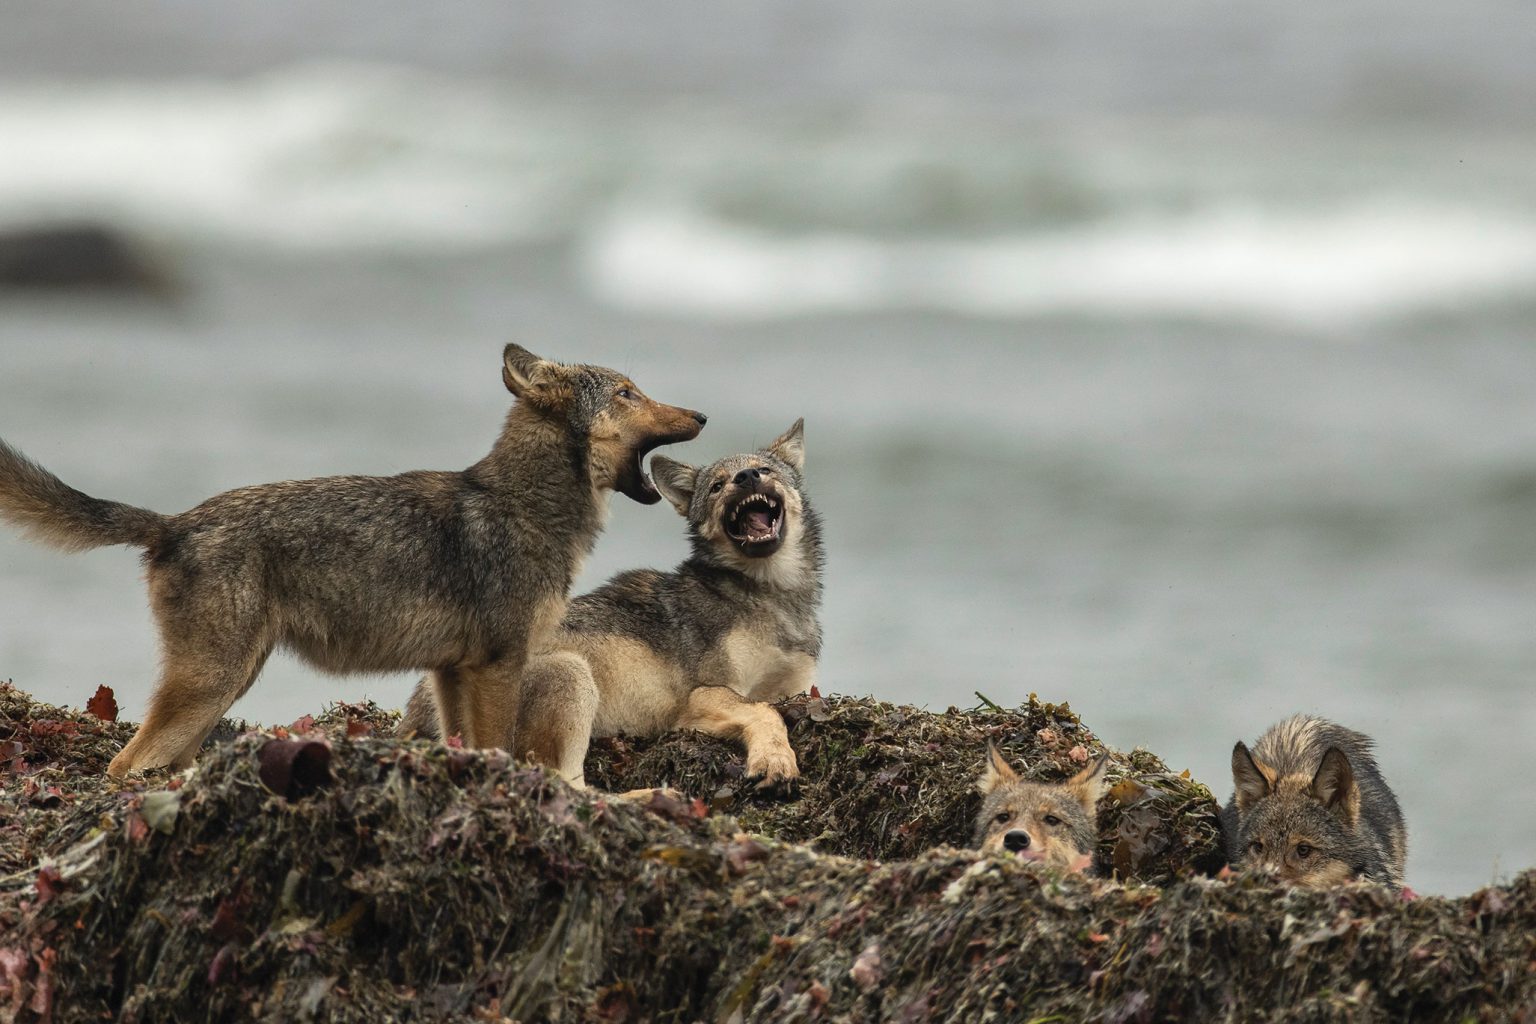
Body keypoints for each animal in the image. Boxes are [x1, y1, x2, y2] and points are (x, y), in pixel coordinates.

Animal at [0, 343, 703, 776]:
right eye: (628, 392)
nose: (701, 413)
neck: (523, 505)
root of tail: (173, 522)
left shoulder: (454, 674)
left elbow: (470, 750)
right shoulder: (500, 666)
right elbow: (501, 749)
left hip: (226, 689)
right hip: (211, 685)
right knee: (124, 767)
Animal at [402, 420, 823, 792]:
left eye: (765, 470)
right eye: (718, 485)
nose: (747, 477)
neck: (771, 595)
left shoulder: (795, 688)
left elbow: (776, 703)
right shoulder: (702, 696)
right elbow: (766, 712)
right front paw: (775, 761)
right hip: (571, 674)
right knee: (570, 784)